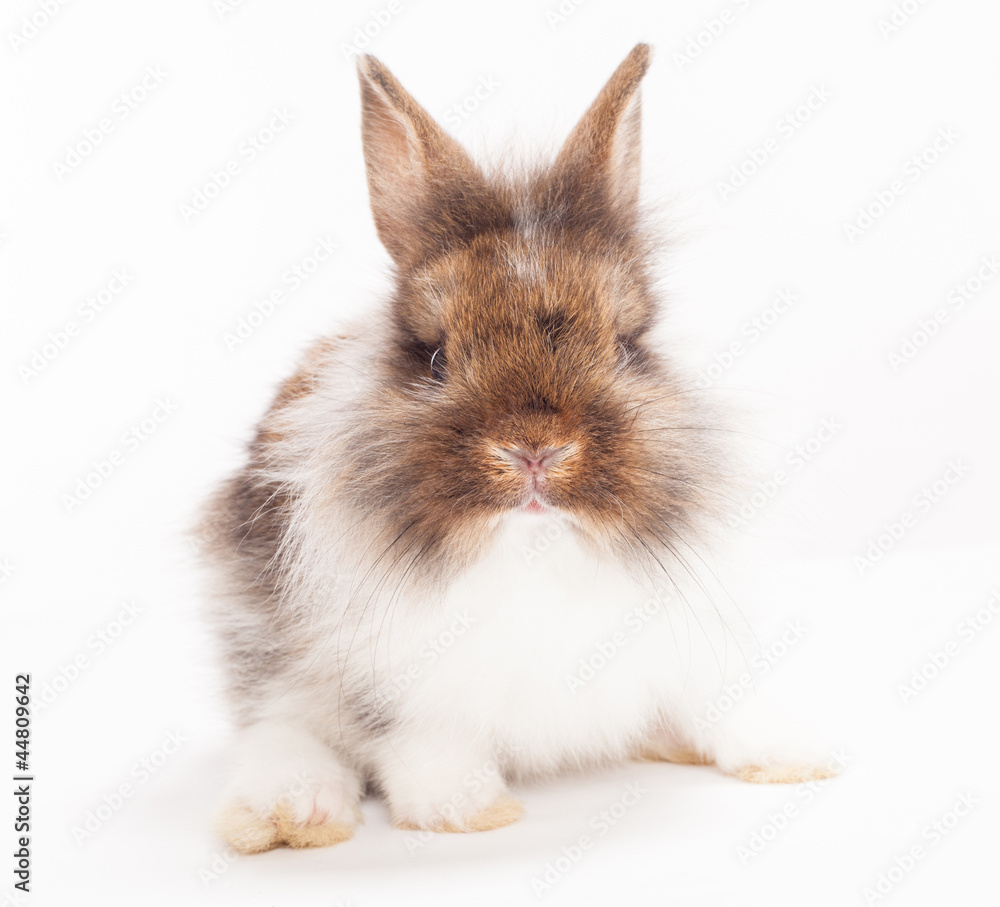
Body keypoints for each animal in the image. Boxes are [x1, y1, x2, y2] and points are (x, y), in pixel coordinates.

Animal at [199, 43, 835, 855]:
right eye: (435, 356)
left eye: (626, 346)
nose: (535, 451)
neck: (536, 552)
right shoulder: (394, 680)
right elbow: (423, 742)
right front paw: (466, 810)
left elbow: (721, 700)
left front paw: (796, 757)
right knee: (278, 730)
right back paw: (290, 812)